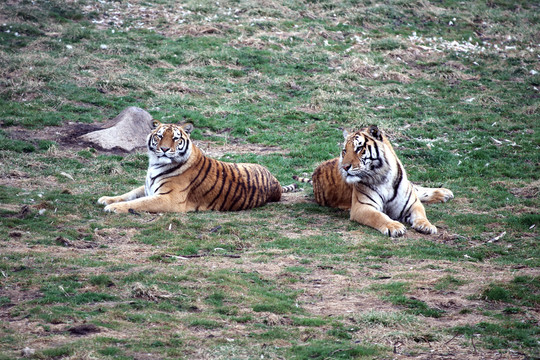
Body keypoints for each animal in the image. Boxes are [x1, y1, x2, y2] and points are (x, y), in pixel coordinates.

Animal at [99, 120, 298, 214]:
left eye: (175, 138)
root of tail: (275, 181)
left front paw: (114, 208)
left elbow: (139, 203)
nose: (164, 149)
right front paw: (106, 199)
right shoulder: (147, 187)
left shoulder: (169, 199)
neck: (155, 164)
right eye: (159, 136)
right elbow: (130, 193)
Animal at [294, 125, 454, 238]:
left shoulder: (412, 204)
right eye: (344, 151)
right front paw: (394, 226)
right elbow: (379, 216)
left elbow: (421, 215)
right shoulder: (362, 206)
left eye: (359, 148)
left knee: (417, 189)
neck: (384, 177)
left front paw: (427, 226)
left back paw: (445, 193)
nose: (344, 167)